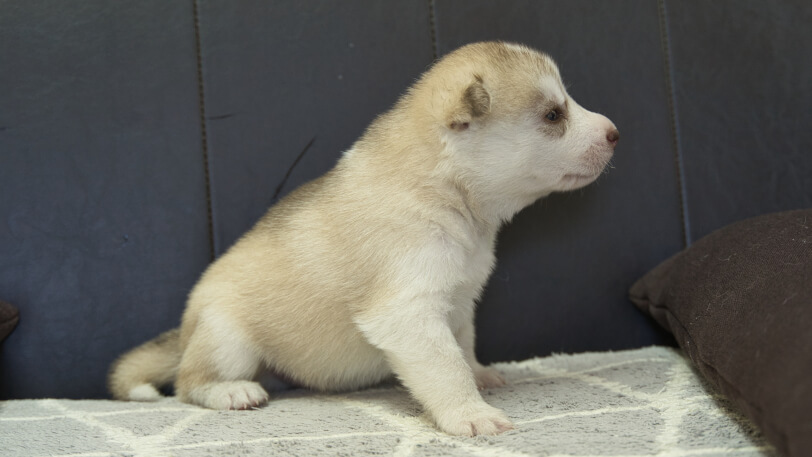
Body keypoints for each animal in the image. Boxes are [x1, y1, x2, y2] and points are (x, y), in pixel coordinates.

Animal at [106, 41, 616, 434]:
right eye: (553, 115)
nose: (614, 132)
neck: (446, 193)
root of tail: (184, 329)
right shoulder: (407, 313)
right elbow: (447, 368)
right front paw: (469, 414)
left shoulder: (459, 303)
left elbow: (464, 349)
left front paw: (480, 376)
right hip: (228, 339)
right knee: (189, 383)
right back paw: (231, 391)